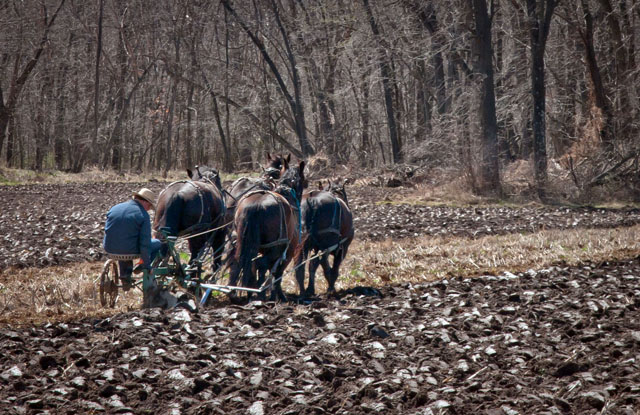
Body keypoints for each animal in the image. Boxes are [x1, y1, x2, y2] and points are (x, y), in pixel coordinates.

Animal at [230, 160, 308, 302]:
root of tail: (255, 205)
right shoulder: (287, 250)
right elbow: (277, 273)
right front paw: (278, 295)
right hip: (275, 248)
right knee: (259, 264)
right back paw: (258, 293)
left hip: (244, 244)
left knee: (241, 263)